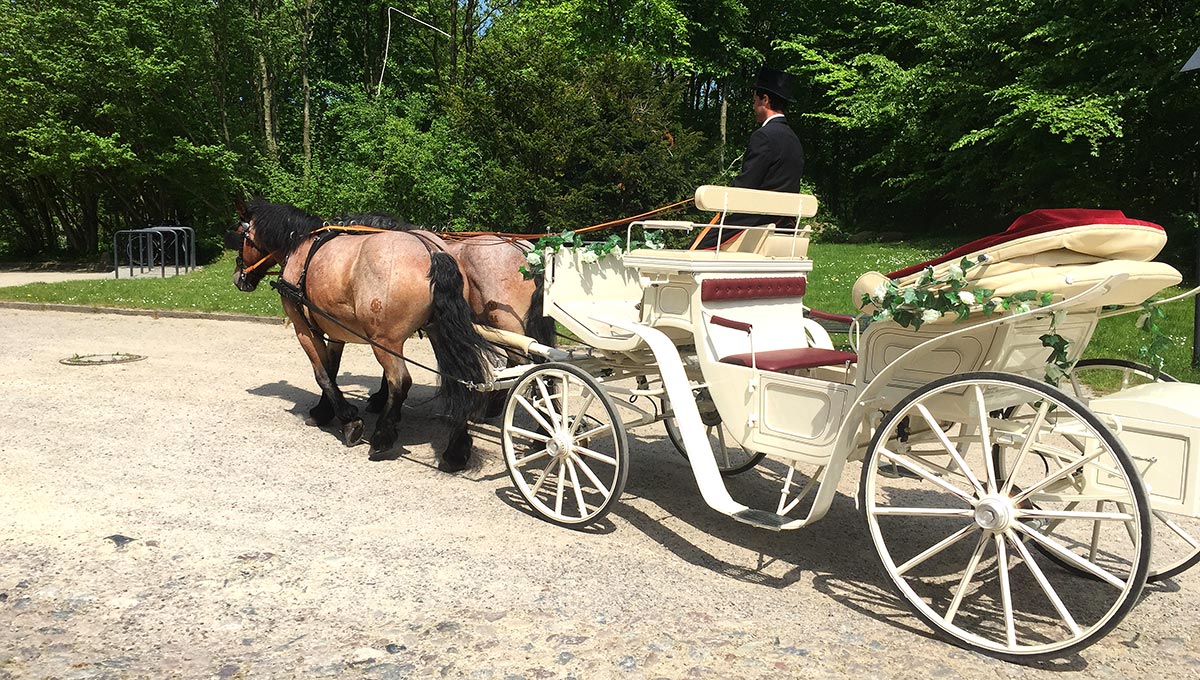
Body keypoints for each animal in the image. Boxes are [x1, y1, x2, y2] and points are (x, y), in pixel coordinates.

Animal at [225, 199, 487, 470]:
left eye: (240, 235)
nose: (238, 279)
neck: (300, 246)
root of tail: (433, 252)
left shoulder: (304, 329)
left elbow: (322, 375)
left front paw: (349, 420)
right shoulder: (335, 331)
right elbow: (331, 371)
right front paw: (324, 411)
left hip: (384, 341)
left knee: (400, 381)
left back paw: (382, 437)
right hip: (439, 332)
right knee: (462, 380)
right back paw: (456, 449)